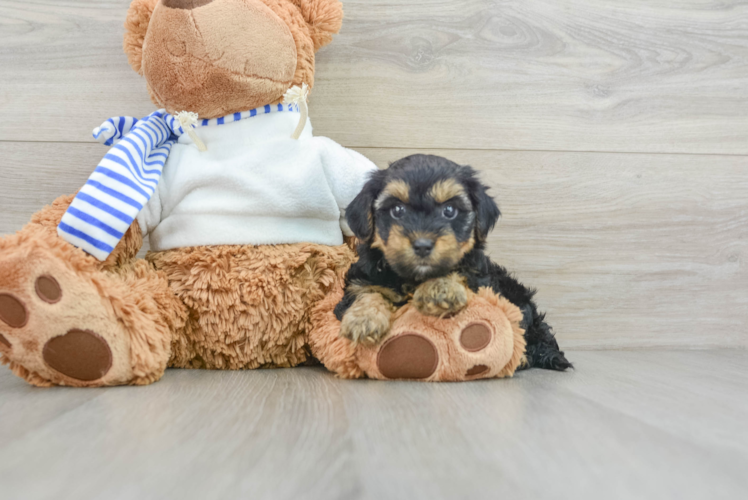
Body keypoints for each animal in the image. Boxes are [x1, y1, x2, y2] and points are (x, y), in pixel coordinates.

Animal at [334, 153, 572, 372]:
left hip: (517, 299)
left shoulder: (479, 279)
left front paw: (439, 290)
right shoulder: (361, 279)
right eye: (397, 210)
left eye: (449, 210)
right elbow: (366, 291)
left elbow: (459, 271)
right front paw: (363, 319)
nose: (422, 245)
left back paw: (522, 357)